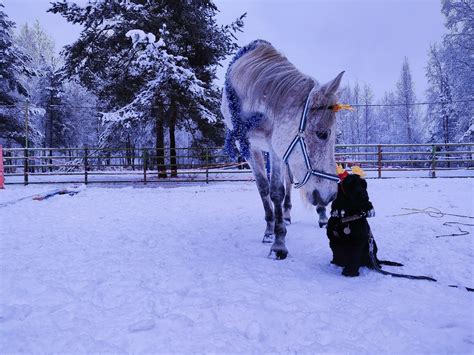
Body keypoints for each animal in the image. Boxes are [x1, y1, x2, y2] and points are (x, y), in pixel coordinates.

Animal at [222, 40, 344, 260]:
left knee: (288, 181)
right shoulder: (247, 147)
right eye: (322, 134)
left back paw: (317, 214)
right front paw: (271, 233)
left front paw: (279, 243)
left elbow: (278, 190)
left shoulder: (276, 147)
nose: (331, 195)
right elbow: (265, 189)